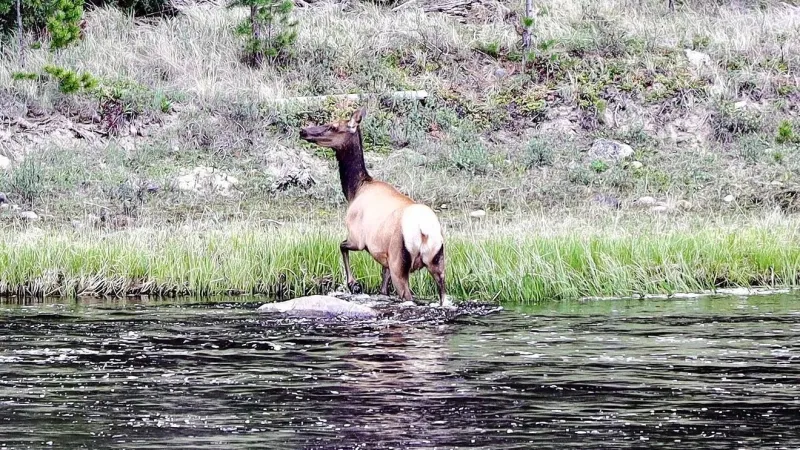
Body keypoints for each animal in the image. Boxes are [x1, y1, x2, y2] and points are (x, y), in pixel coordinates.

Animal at [299, 107, 447, 306]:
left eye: (333, 126)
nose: (303, 131)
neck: (354, 190)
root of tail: (424, 231)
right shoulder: (384, 260)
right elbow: (383, 287)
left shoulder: (357, 238)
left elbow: (341, 246)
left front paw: (353, 284)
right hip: (437, 264)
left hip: (400, 264)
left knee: (407, 295)